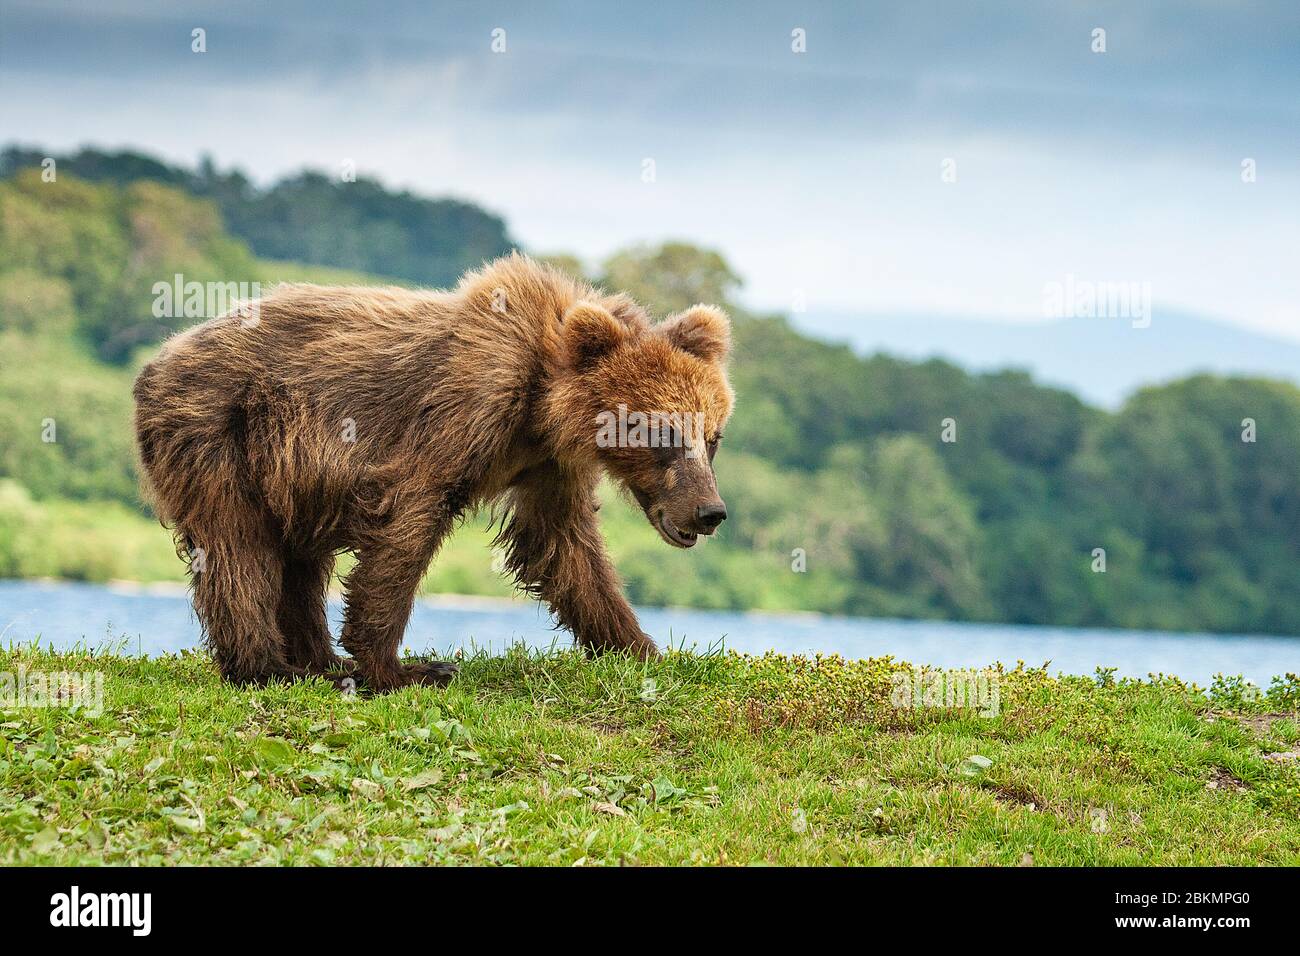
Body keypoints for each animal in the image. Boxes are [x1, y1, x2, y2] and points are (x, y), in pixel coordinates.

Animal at [137, 254, 738, 686]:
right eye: (663, 434)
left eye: (712, 437)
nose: (710, 511)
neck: (541, 404)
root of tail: (160, 357)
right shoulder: (462, 408)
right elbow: (410, 517)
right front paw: (405, 668)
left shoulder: (550, 463)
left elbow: (563, 543)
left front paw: (639, 646)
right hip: (222, 431)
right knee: (238, 543)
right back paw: (266, 667)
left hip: (293, 472)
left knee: (299, 557)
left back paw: (318, 662)